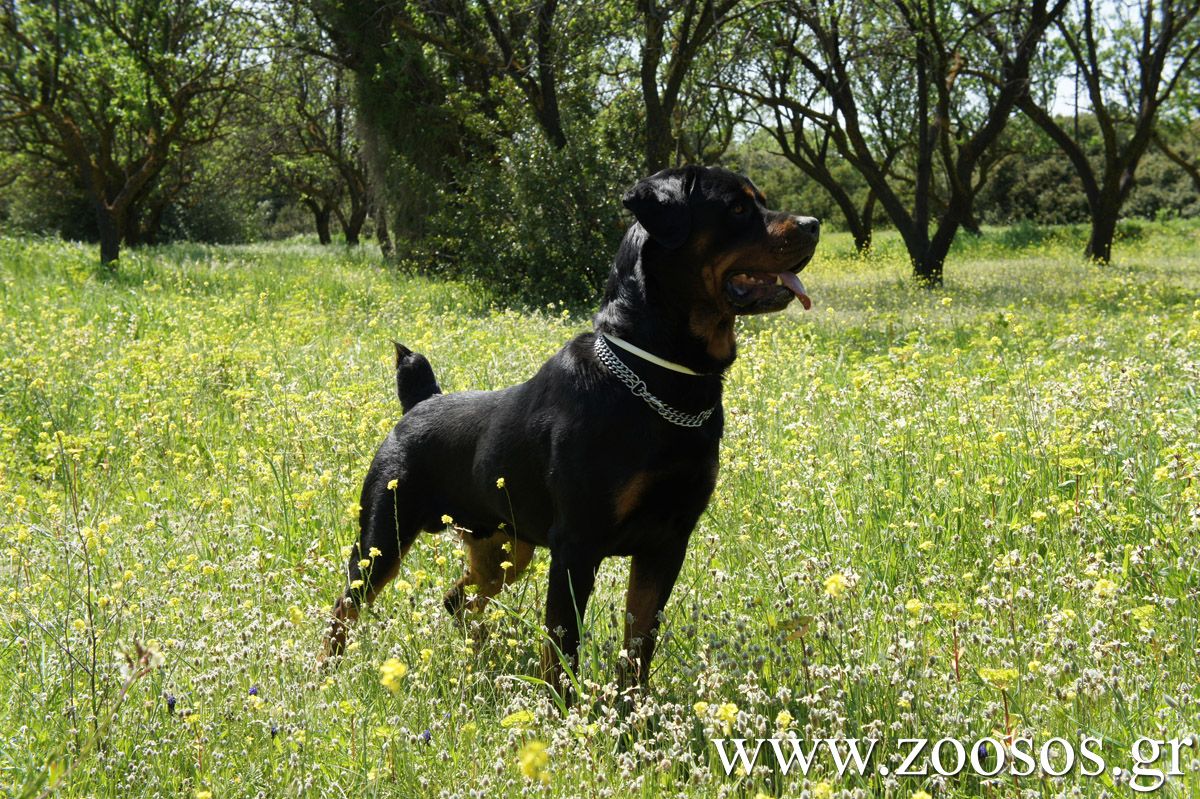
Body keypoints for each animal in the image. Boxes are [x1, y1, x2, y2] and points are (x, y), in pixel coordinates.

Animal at [324, 164, 820, 686]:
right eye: (738, 207)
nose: (814, 224)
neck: (659, 378)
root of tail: (419, 404)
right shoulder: (576, 545)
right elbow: (562, 649)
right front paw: (564, 705)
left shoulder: (668, 542)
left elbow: (638, 647)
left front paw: (631, 707)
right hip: (382, 540)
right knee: (344, 607)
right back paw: (325, 674)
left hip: (505, 549)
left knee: (457, 598)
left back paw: (478, 660)